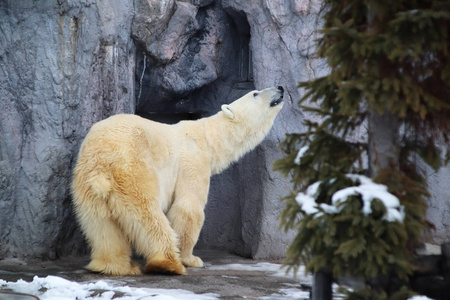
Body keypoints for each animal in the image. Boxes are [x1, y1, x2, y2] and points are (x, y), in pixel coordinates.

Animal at [72, 86, 284, 274]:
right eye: (255, 93)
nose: (280, 88)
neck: (207, 138)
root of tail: (103, 158)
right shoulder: (192, 161)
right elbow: (188, 208)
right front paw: (191, 259)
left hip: (86, 181)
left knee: (102, 226)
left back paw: (116, 266)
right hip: (134, 168)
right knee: (148, 214)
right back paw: (168, 263)